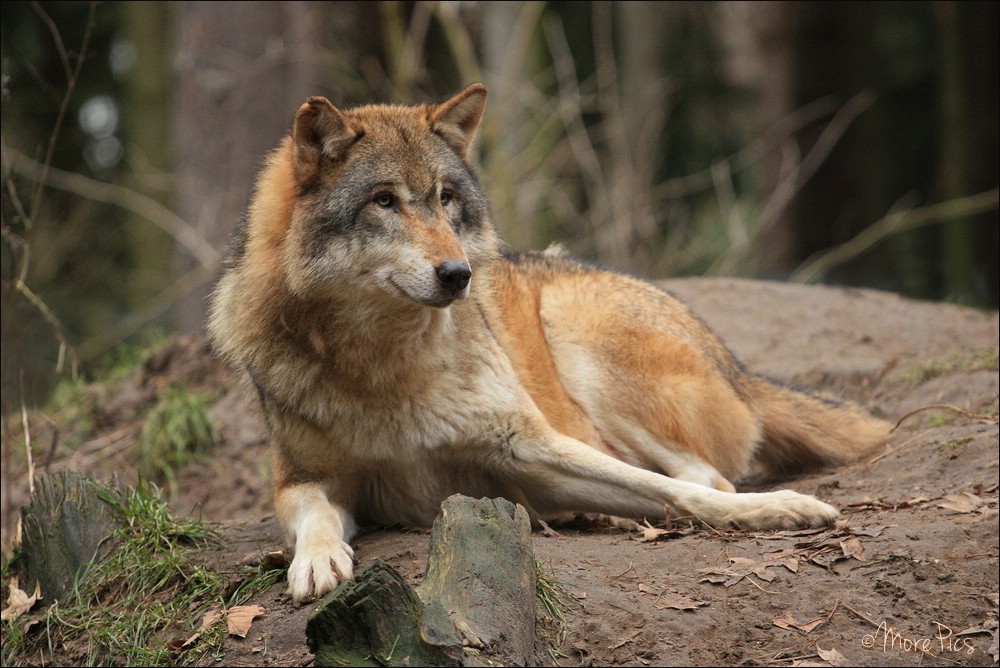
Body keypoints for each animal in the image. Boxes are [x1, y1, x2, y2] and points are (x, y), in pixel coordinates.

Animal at [205, 85, 892, 604]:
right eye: (384, 201)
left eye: (445, 199)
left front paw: (780, 510)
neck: (390, 366)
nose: (459, 275)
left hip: (577, 336)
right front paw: (317, 561)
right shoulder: (302, 480)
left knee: (706, 475)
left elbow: (677, 491)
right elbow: (317, 518)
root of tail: (739, 366)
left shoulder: (526, 446)